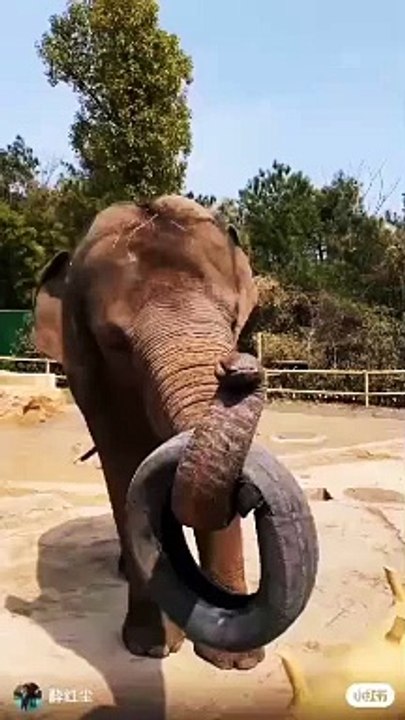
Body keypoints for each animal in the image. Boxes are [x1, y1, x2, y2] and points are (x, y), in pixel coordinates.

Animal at [33, 195, 317, 671]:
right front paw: (151, 648)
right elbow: (123, 464)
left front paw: (235, 663)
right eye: (115, 340)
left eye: (233, 318)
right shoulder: (91, 379)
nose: (237, 370)